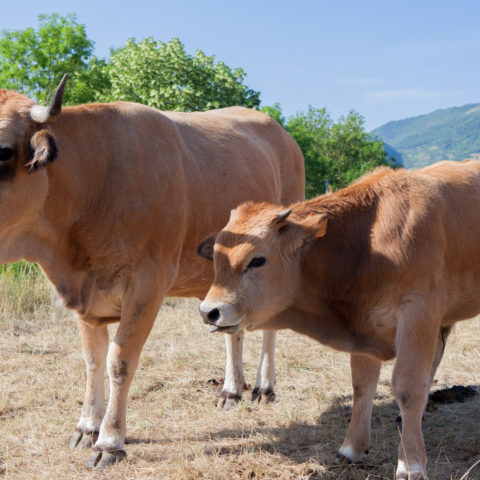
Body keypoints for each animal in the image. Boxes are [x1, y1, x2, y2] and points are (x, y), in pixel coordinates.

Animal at [0, 77, 304, 466]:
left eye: (4, 151)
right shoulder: (82, 292)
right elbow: (92, 360)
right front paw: (87, 426)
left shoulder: (147, 284)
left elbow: (120, 361)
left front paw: (110, 441)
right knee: (232, 329)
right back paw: (231, 390)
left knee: (270, 328)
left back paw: (265, 387)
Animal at [197, 161, 480, 480]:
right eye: (217, 259)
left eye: (257, 260)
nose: (209, 311)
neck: (368, 241)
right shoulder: (364, 327)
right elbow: (362, 385)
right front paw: (352, 448)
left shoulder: (418, 313)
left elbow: (408, 386)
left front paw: (411, 464)